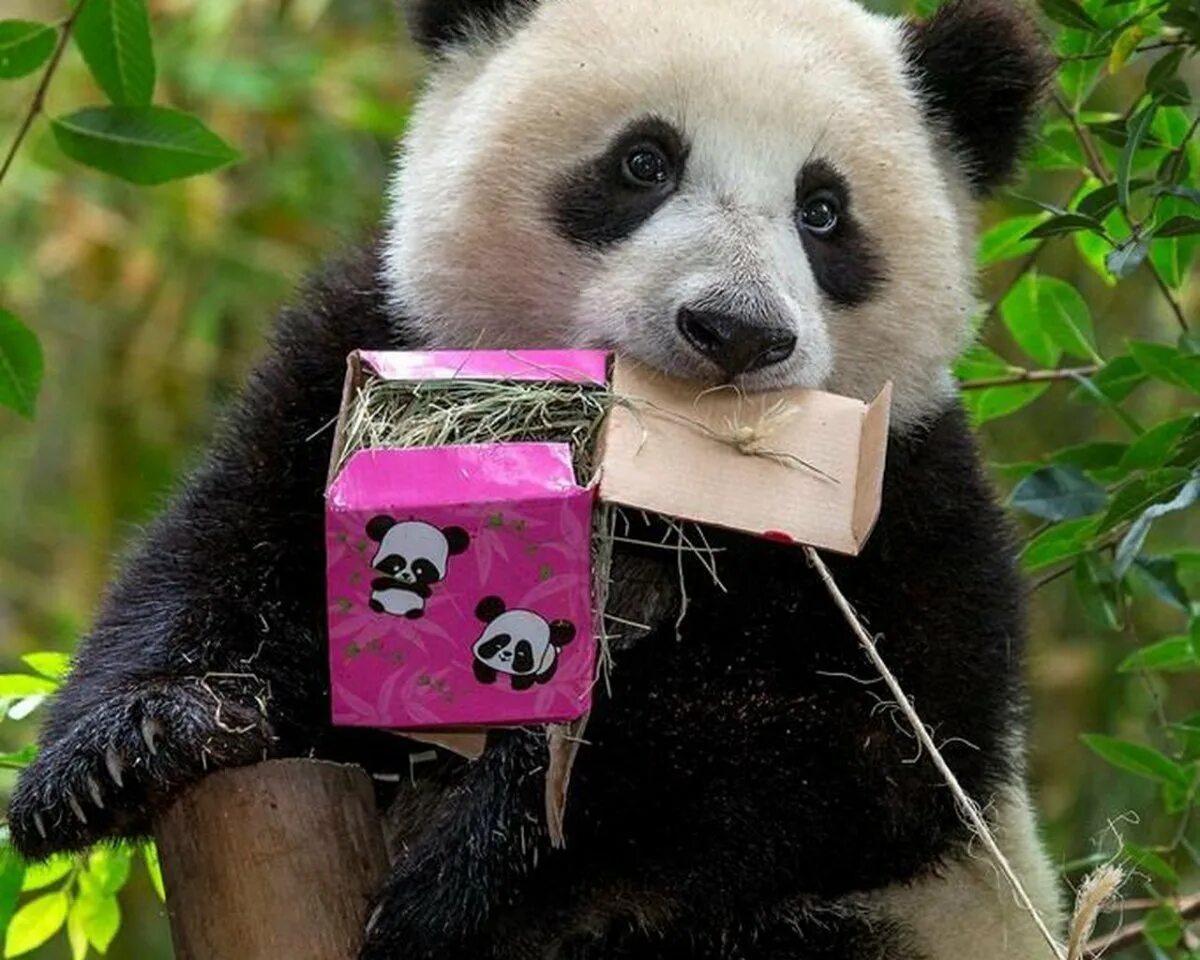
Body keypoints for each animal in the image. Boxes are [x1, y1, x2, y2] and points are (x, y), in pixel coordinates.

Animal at [8, 1, 1064, 958]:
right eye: (644, 162)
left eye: (823, 211)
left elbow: (860, 745)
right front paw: (143, 739)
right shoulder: (370, 356)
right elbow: (229, 548)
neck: (656, 482)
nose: (736, 330)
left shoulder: (908, 500)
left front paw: (466, 865)